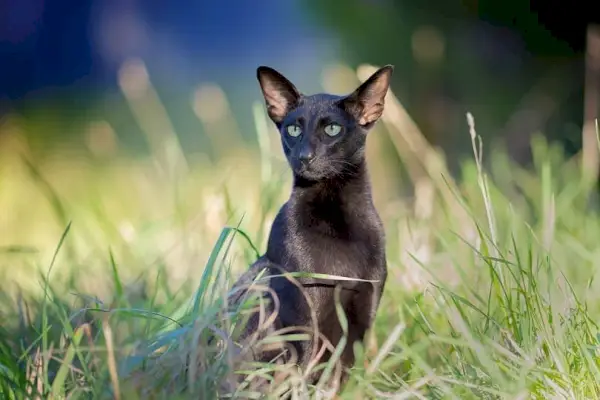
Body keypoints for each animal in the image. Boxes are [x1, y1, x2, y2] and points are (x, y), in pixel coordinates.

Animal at [227, 63, 392, 390]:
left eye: (332, 129)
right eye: (294, 129)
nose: (305, 157)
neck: (336, 222)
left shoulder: (364, 310)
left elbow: (343, 376)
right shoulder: (302, 314)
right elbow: (302, 372)